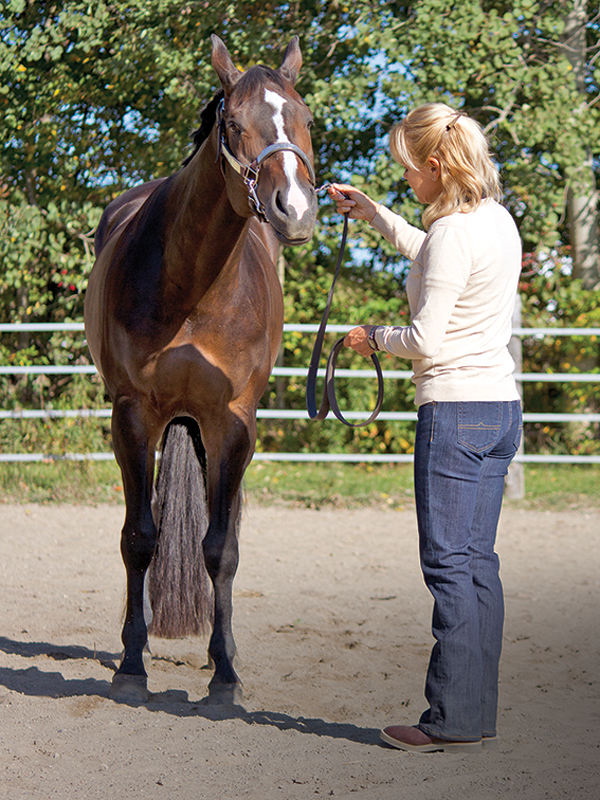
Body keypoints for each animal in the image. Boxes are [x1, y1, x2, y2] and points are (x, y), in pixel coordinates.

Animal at [84, 35, 318, 704]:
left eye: (306, 119)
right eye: (233, 124)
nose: (294, 210)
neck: (192, 284)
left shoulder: (231, 423)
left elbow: (221, 549)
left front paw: (225, 674)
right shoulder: (133, 417)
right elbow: (140, 538)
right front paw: (131, 664)